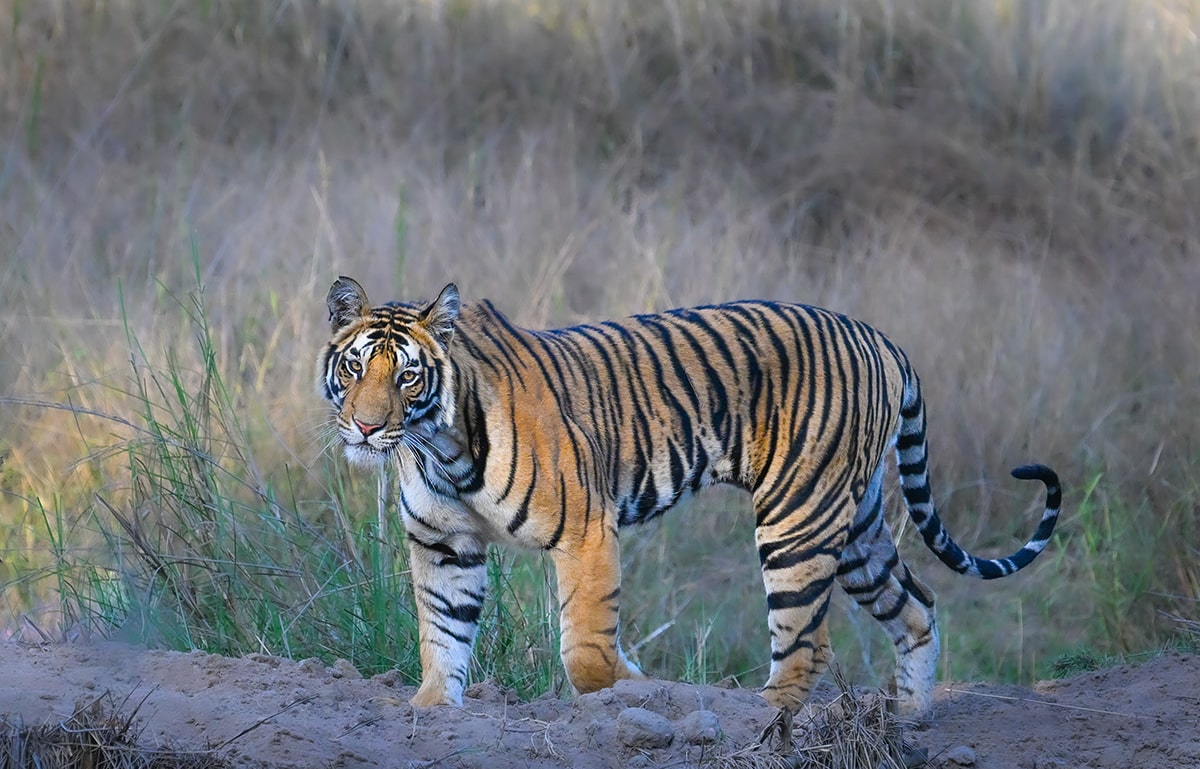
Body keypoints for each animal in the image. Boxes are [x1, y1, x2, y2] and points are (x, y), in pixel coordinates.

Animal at [319, 277, 1060, 715]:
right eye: (354, 367)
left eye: (408, 376)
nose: (365, 425)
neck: (436, 444)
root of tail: (881, 338)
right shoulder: (445, 545)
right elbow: (441, 633)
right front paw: (432, 711)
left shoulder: (585, 530)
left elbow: (586, 651)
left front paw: (640, 688)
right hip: (858, 528)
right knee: (917, 605)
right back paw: (908, 717)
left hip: (798, 518)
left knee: (807, 644)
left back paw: (764, 717)